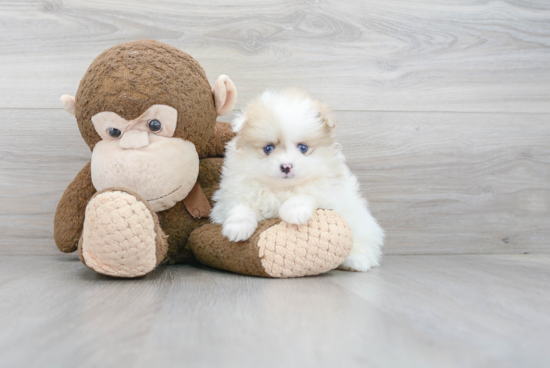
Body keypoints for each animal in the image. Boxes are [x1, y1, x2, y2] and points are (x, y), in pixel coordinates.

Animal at [213, 90, 386, 272]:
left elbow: (307, 193)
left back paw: (356, 261)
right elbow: (242, 206)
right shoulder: (231, 196)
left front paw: (293, 211)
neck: (282, 188)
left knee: (364, 245)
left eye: (303, 148)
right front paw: (237, 227)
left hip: (361, 224)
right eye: (268, 148)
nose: (286, 166)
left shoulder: (329, 193)